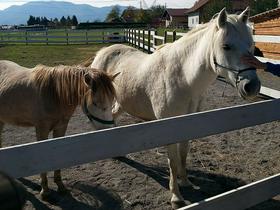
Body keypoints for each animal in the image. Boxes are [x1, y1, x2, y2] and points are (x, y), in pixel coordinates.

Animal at [0, 60, 116, 199]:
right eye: (95, 103)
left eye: (112, 100)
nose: (109, 130)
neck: (53, 94)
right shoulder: (41, 129)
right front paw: (45, 190)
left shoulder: (61, 128)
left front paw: (60, 186)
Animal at [89, 7, 260, 208]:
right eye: (226, 46)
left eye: (251, 45)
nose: (252, 86)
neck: (183, 78)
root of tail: (103, 52)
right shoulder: (169, 127)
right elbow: (173, 161)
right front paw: (176, 196)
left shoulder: (186, 125)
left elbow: (183, 155)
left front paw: (185, 182)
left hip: (122, 103)